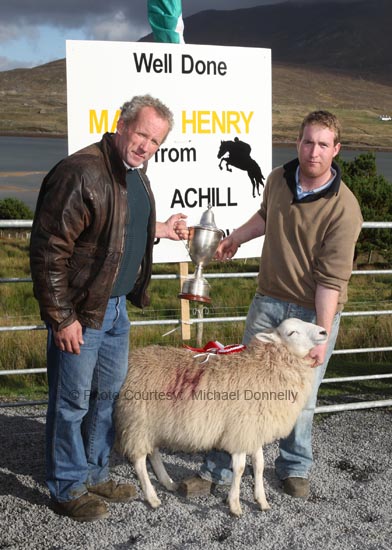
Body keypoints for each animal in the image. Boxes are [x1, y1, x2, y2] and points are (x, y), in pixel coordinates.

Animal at [115, 320, 326, 516]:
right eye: (291, 332)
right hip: (137, 421)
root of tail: (132, 358)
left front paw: (262, 501)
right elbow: (240, 468)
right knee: (139, 461)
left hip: (151, 423)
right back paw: (152, 497)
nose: (324, 331)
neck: (263, 368)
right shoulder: (239, 430)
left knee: (153, 453)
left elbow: (259, 465)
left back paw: (168, 482)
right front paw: (235, 505)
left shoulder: (254, 429)